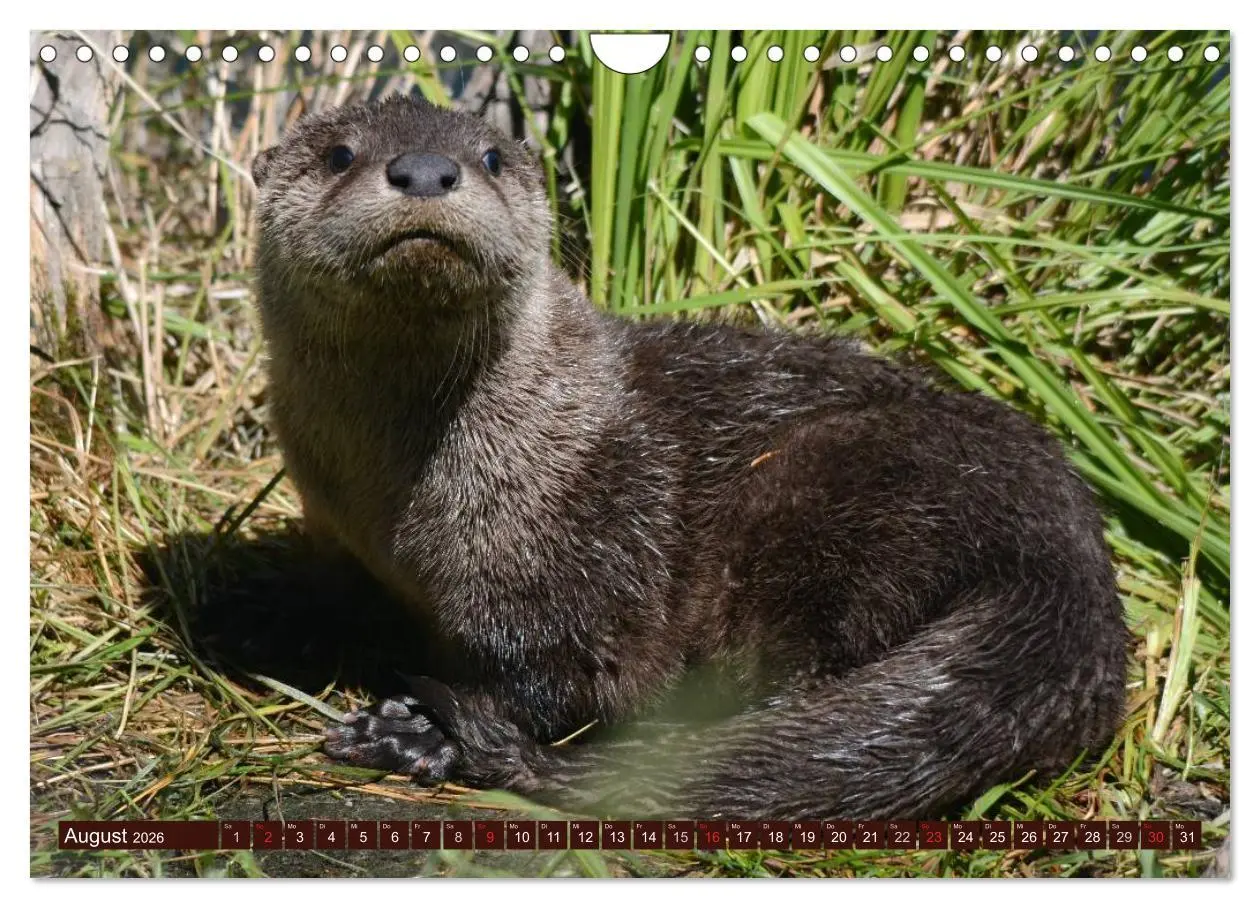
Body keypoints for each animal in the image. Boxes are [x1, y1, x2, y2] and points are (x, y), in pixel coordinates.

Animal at [250, 95, 1127, 820]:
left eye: (491, 157)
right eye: (339, 153)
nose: (429, 170)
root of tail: (1067, 562)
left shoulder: (585, 550)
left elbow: (564, 678)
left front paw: (419, 730)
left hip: (836, 489)